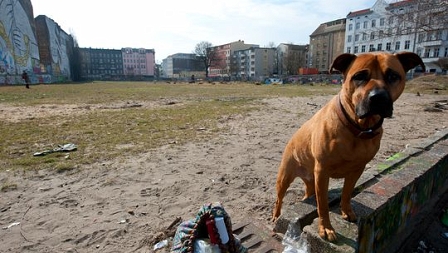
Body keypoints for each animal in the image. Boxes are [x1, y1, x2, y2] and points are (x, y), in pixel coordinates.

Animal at [272, 51, 426, 241]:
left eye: (393, 76)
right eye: (359, 76)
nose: (378, 97)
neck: (358, 127)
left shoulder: (357, 169)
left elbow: (347, 193)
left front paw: (347, 211)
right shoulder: (322, 172)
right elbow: (323, 205)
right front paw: (326, 227)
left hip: (310, 179)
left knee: (309, 192)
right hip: (285, 176)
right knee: (279, 198)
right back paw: (276, 215)